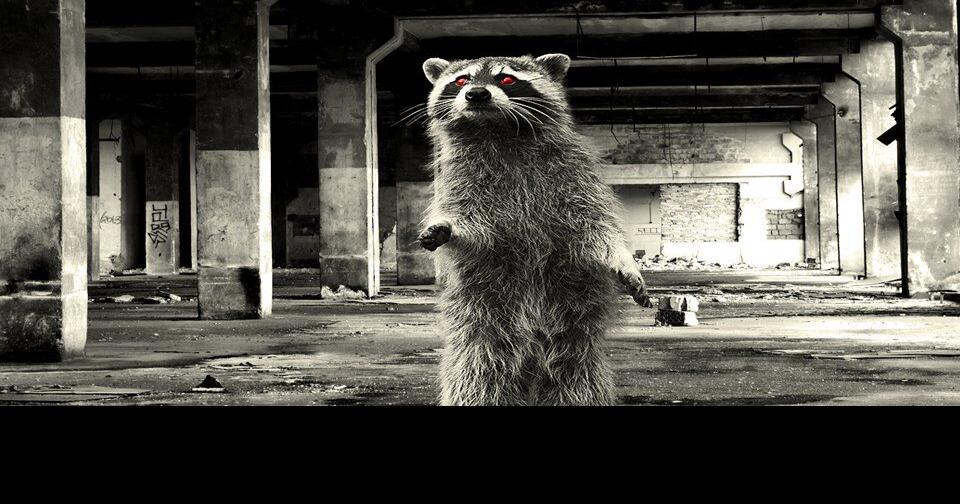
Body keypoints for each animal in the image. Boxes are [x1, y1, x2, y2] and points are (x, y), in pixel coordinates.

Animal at [416, 53, 651, 406]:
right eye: (460, 80)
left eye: (506, 79)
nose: (476, 94)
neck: (498, 131)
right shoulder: (459, 179)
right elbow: (469, 223)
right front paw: (448, 228)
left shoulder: (574, 176)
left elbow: (597, 228)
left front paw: (624, 261)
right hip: (481, 320)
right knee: (479, 377)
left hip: (573, 329)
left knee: (577, 381)